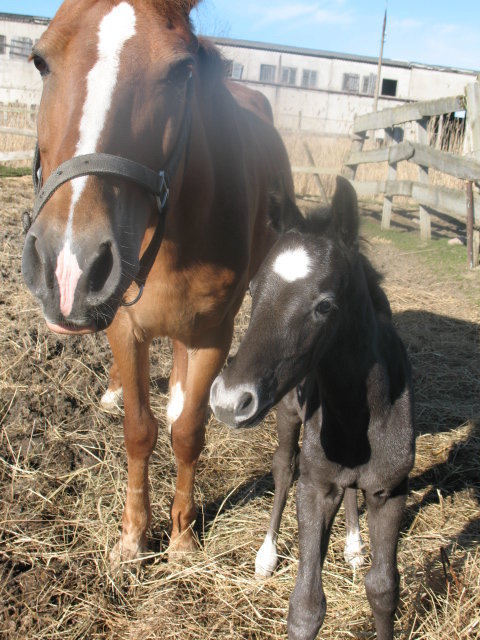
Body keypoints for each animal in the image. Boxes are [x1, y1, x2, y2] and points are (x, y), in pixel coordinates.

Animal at [21, 0, 292, 564]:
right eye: (40, 61)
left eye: (181, 71)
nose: (68, 265)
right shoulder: (124, 327)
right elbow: (139, 430)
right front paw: (133, 537)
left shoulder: (212, 334)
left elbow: (187, 432)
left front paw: (183, 537)